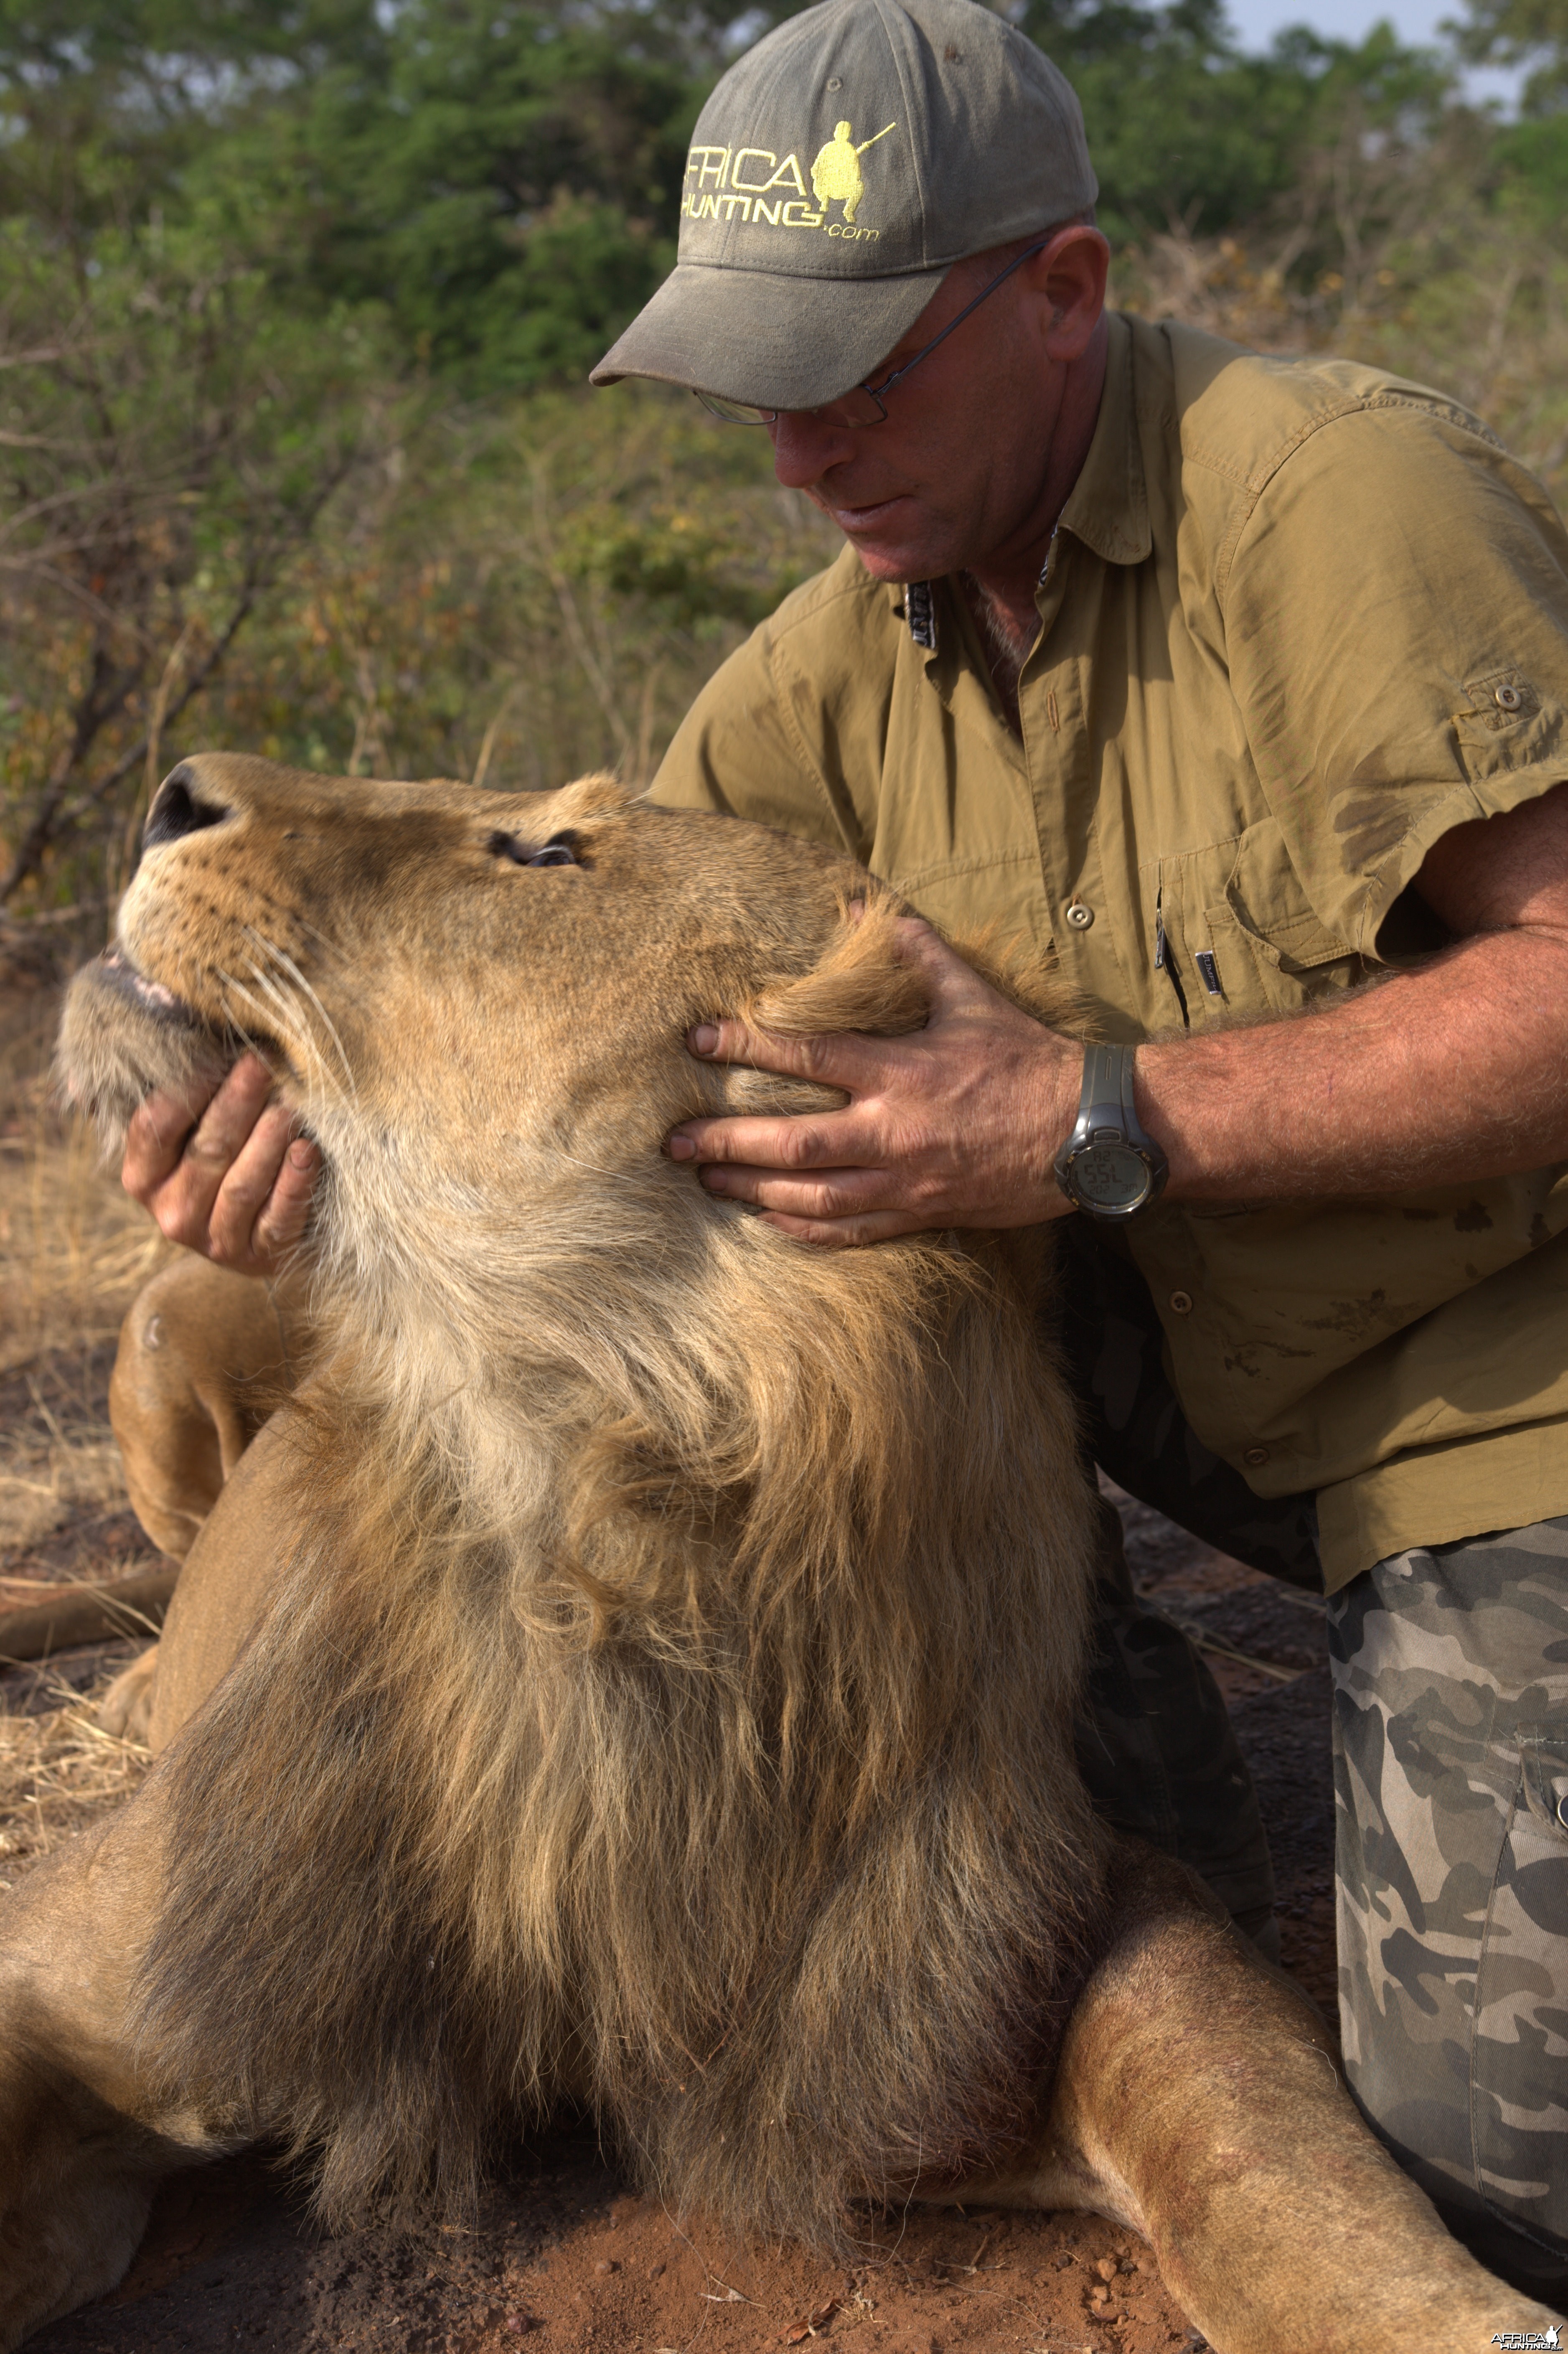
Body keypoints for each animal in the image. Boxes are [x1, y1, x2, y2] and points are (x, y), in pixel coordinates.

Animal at [3, 758, 1554, 2354]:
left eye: (545, 851)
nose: (174, 790)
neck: (594, 1519)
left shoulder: (974, 1952)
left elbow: (1271, 2147)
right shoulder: (96, 1949)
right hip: (172, 1319)